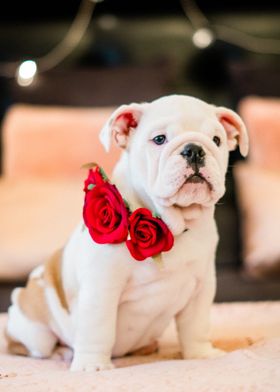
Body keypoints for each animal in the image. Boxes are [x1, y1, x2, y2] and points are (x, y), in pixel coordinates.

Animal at [5, 94, 248, 370]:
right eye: (159, 139)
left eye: (217, 140)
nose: (194, 149)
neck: (172, 225)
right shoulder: (101, 288)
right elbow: (98, 329)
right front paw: (92, 365)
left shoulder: (202, 286)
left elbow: (196, 325)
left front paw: (201, 354)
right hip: (34, 328)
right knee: (29, 346)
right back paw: (61, 352)